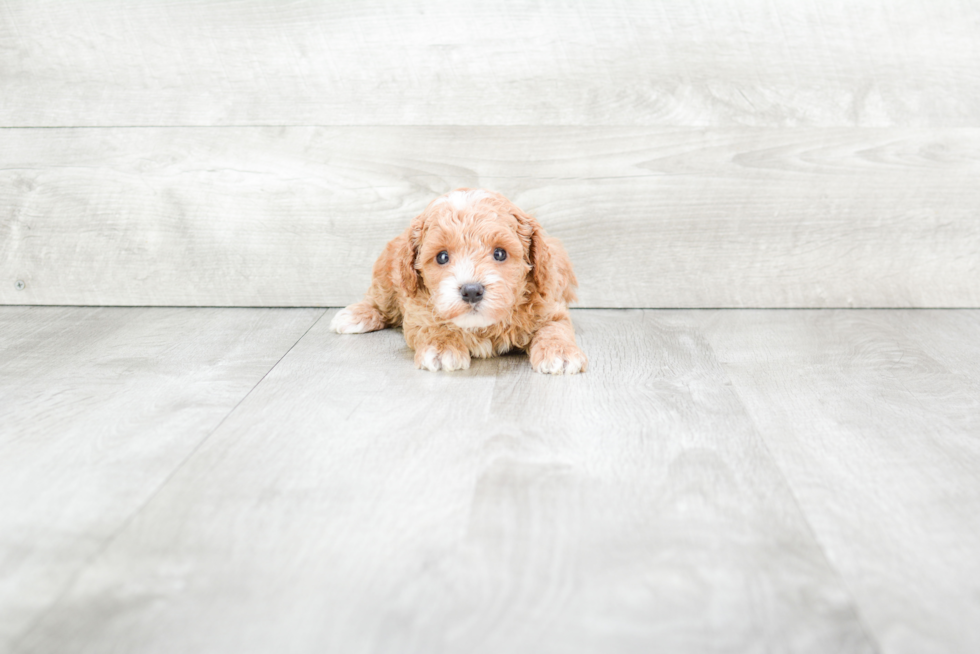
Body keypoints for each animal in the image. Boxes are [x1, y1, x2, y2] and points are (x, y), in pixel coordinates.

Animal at [334, 187, 584, 376]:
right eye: (442, 257)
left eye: (500, 253)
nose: (472, 291)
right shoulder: (418, 308)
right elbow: (432, 325)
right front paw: (442, 347)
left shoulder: (549, 306)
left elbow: (555, 327)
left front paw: (560, 352)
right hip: (387, 276)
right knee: (379, 302)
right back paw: (355, 315)